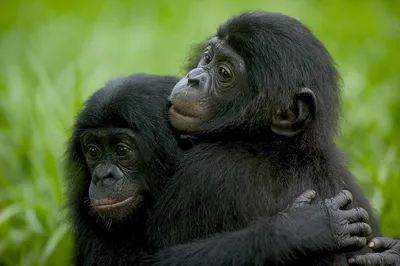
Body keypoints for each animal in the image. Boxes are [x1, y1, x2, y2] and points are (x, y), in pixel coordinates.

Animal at [147, 10, 400, 266]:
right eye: (208, 58)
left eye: (224, 73)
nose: (194, 78)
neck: (274, 144)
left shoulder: (206, 171)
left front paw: (296, 230)